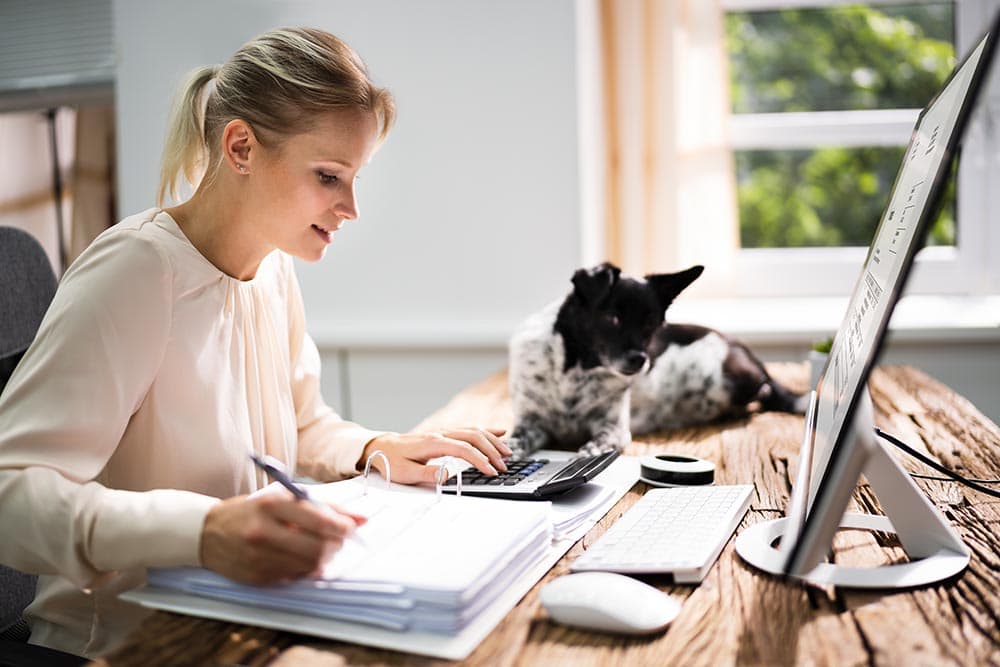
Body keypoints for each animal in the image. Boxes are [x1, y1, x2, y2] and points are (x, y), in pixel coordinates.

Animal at [512, 260, 808, 460]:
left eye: (651, 324)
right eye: (612, 318)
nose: (640, 360)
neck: (576, 372)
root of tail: (742, 348)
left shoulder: (614, 426)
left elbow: (599, 442)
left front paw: (589, 454)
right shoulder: (531, 422)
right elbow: (515, 440)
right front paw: (510, 453)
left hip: (724, 378)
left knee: (764, 390)